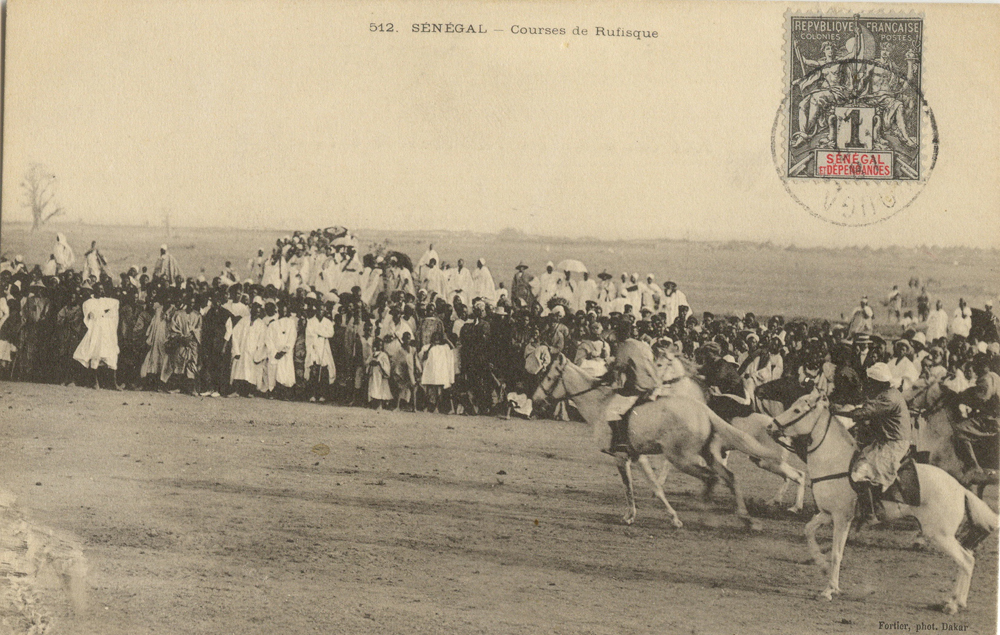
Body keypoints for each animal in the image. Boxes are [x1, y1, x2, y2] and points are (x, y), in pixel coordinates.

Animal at [536, 356, 784, 528]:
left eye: (548, 377)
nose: (537, 399)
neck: (600, 405)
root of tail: (703, 409)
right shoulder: (637, 456)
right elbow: (655, 486)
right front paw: (671, 517)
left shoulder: (621, 457)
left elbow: (628, 488)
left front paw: (630, 516)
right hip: (708, 455)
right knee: (730, 477)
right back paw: (747, 519)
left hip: (681, 458)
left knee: (711, 479)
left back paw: (708, 517)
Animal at [768, 392, 996, 616]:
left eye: (797, 410)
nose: (770, 426)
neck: (835, 463)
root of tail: (960, 489)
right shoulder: (826, 513)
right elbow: (808, 531)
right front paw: (822, 566)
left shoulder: (842, 518)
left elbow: (837, 553)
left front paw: (829, 589)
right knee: (968, 558)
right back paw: (956, 601)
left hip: (939, 534)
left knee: (966, 561)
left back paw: (953, 605)